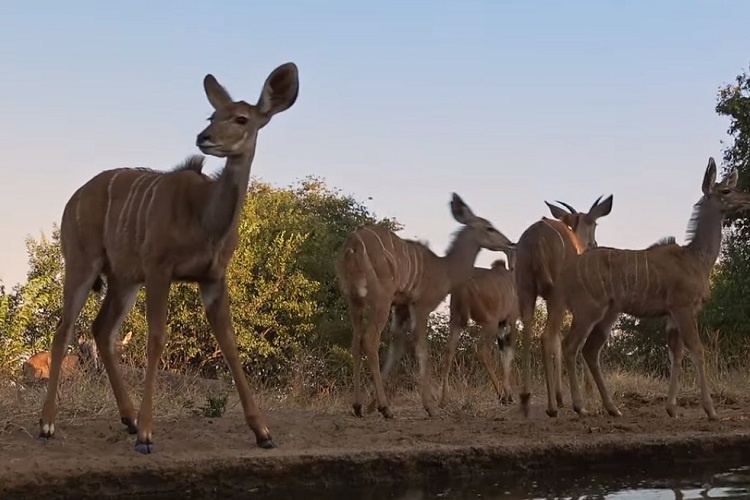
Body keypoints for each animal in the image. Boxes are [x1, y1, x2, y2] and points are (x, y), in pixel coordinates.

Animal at [37, 62, 299, 454]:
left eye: (241, 118)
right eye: (211, 115)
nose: (204, 137)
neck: (205, 218)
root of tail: (74, 199)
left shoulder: (213, 277)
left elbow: (229, 342)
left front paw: (263, 433)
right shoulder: (159, 269)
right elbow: (157, 337)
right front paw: (147, 436)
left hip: (123, 279)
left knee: (101, 330)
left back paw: (127, 418)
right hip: (83, 264)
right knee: (64, 329)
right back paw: (48, 424)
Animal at [439, 249, 519, 405]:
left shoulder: (501, 326)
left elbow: (503, 354)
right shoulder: (509, 321)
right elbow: (508, 354)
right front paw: (509, 395)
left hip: (456, 321)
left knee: (449, 350)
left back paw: (444, 399)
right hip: (489, 323)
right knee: (482, 350)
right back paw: (501, 395)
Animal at [514, 194, 613, 418]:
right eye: (595, 223)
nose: (594, 243)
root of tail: (536, 238)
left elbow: (558, 341)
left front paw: (561, 396)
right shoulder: (579, 307)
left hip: (526, 290)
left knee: (528, 331)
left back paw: (525, 400)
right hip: (556, 296)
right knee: (545, 336)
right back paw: (552, 407)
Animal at [559, 157, 750, 421]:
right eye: (726, 191)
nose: (748, 198)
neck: (696, 259)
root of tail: (567, 272)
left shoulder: (671, 315)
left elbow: (676, 354)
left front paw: (672, 409)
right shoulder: (683, 306)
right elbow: (697, 350)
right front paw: (711, 411)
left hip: (609, 312)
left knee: (590, 349)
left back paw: (613, 408)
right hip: (589, 308)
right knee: (570, 345)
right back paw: (580, 406)